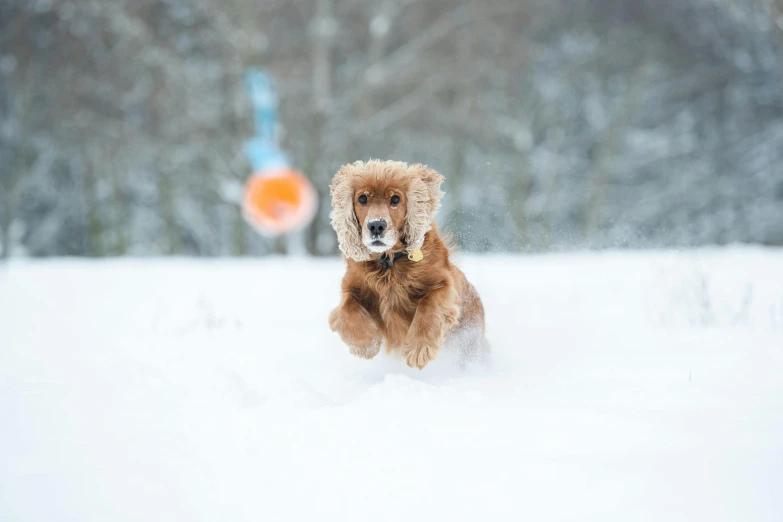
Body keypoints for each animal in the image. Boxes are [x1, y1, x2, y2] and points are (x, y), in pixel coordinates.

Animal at [328, 158, 486, 366]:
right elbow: (348, 308)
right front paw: (366, 344)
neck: (388, 263)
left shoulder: (445, 284)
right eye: (362, 199)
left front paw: (419, 348)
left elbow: (429, 304)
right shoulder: (350, 287)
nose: (376, 225)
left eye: (395, 199)